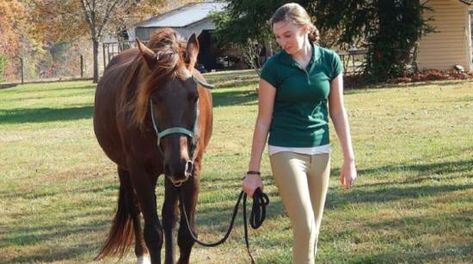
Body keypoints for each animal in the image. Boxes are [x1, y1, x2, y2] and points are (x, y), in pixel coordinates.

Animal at [92, 27, 212, 262]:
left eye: (194, 96)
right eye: (154, 98)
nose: (178, 163)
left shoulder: (192, 169)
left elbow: (185, 234)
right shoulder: (140, 171)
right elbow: (153, 234)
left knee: (169, 216)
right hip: (127, 168)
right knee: (133, 206)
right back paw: (141, 255)